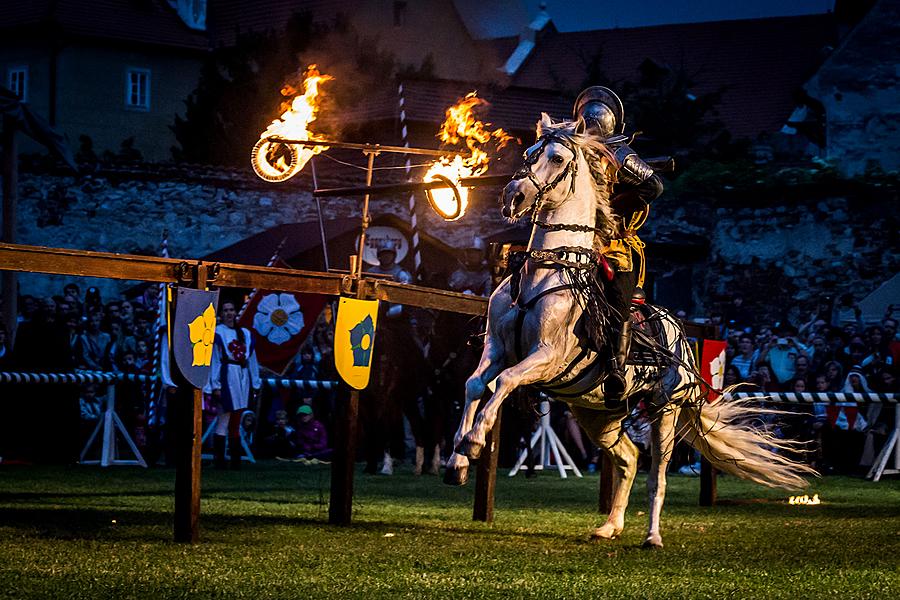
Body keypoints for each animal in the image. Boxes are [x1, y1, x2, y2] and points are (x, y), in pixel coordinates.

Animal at [442, 116, 816, 548]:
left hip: (665, 410)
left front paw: (473, 441)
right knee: (628, 459)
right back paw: (610, 526)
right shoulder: (498, 347)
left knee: (656, 477)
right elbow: (474, 384)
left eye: (557, 158)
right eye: (529, 154)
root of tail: (683, 342)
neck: (546, 269)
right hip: (596, 414)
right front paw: (457, 460)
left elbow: (503, 382)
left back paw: (652, 535)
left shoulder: (546, 357)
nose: (513, 197)